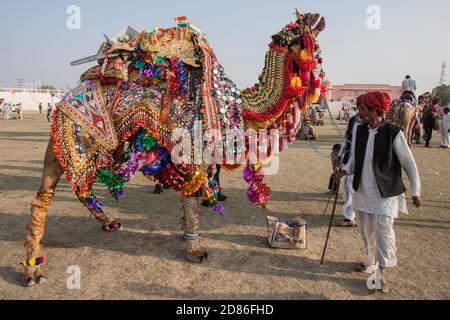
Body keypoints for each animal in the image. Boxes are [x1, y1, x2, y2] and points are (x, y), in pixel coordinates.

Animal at [22, 10, 326, 286]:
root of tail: (64, 98)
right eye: (295, 31)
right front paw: (195, 249)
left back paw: (109, 222)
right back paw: (33, 269)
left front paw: (185, 231)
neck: (239, 106)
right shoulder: (193, 149)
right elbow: (192, 195)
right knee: (43, 197)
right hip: (73, 138)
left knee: (80, 189)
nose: (317, 22)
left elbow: (190, 194)